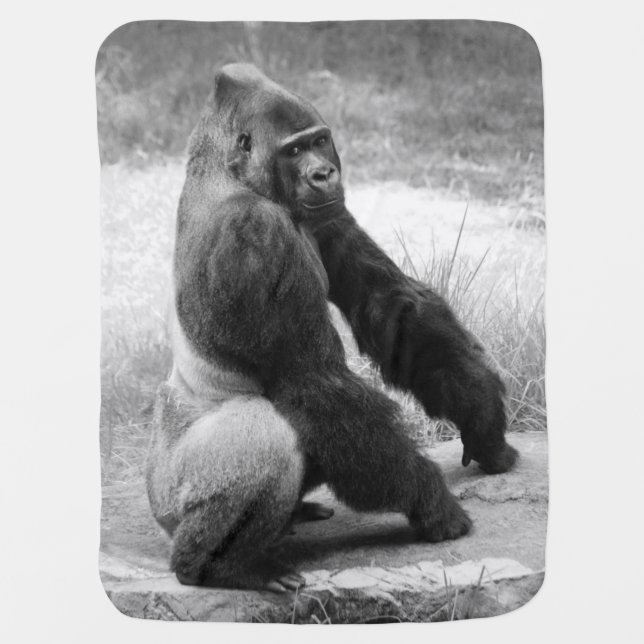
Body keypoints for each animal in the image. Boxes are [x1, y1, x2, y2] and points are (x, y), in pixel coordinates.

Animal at [146, 63, 516, 593]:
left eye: (320, 141)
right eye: (293, 150)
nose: (323, 173)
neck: (228, 170)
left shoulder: (326, 211)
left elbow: (391, 303)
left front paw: (482, 414)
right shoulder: (253, 235)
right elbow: (315, 384)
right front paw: (428, 498)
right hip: (171, 494)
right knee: (264, 434)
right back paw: (219, 566)